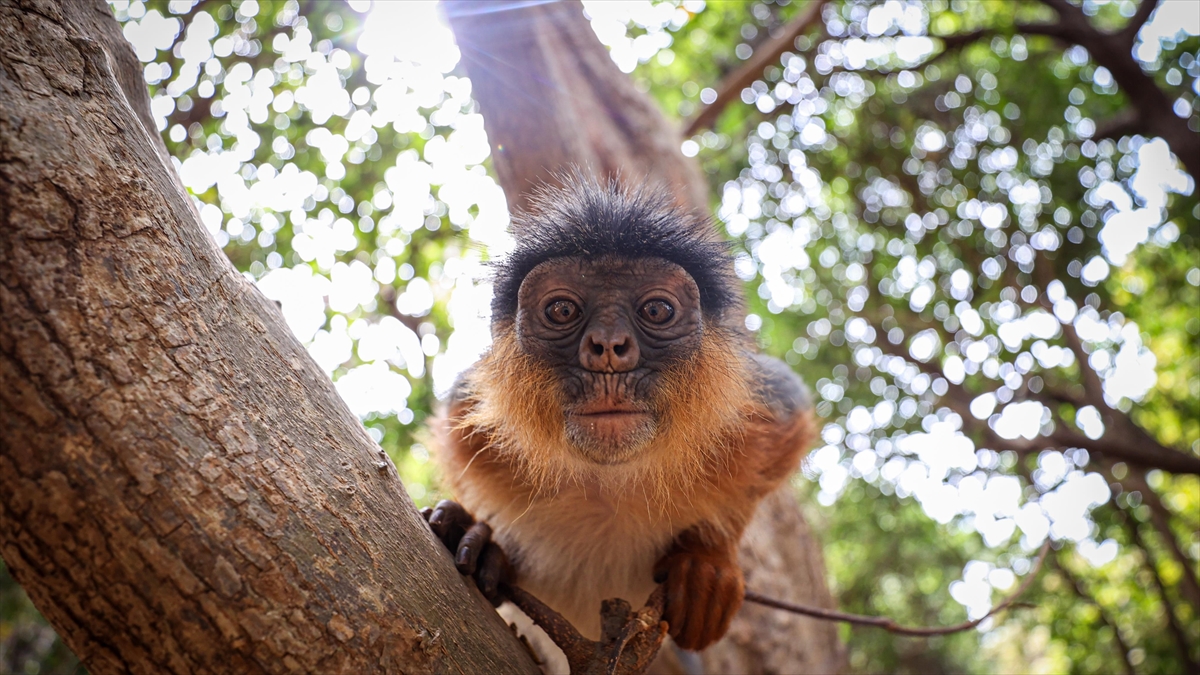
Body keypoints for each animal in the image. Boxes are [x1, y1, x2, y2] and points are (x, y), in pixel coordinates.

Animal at [422, 176, 816, 658]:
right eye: (562, 311)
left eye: (657, 311)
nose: (608, 346)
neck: (608, 484)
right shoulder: (470, 415)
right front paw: (482, 537)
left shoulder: (762, 406)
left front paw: (708, 559)